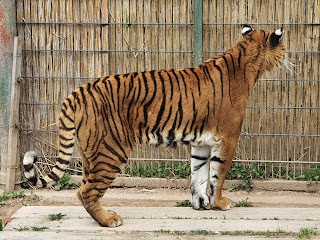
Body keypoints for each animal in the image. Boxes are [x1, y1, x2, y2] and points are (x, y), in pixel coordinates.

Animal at [23, 24, 286, 227]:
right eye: (283, 47)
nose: (287, 55)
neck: (246, 61)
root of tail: (78, 91)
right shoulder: (228, 138)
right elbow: (217, 176)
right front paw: (220, 203)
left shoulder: (201, 142)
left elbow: (199, 174)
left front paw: (200, 204)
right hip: (111, 150)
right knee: (86, 191)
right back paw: (109, 220)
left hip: (90, 153)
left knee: (83, 189)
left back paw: (102, 217)